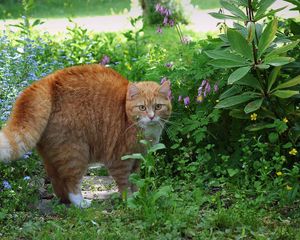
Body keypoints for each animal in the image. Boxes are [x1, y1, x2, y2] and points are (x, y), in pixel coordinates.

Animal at [0, 63, 171, 206]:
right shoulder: (119, 160)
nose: (151, 117)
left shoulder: (137, 160)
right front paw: (129, 200)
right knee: (71, 181)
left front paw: (138, 196)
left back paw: (65, 201)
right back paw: (80, 203)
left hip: (52, 155)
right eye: (142, 107)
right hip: (76, 152)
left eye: (158, 106)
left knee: (57, 181)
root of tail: (49, 80)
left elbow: (135, 182)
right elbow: (124, 184)